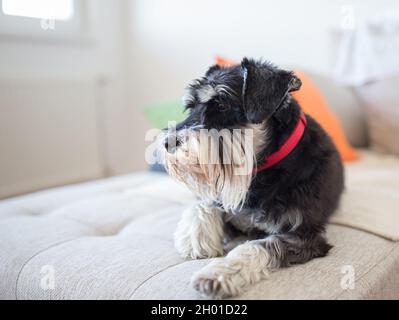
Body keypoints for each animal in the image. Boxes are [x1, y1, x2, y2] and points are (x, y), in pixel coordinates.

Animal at [159, 58, 344, 300]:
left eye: (222, 105)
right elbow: (204, 203)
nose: (167, 143)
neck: (264, 170)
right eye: (191, 106)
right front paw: (195, 240)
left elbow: (260, 245)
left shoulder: (304, 235)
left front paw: (218, 274)